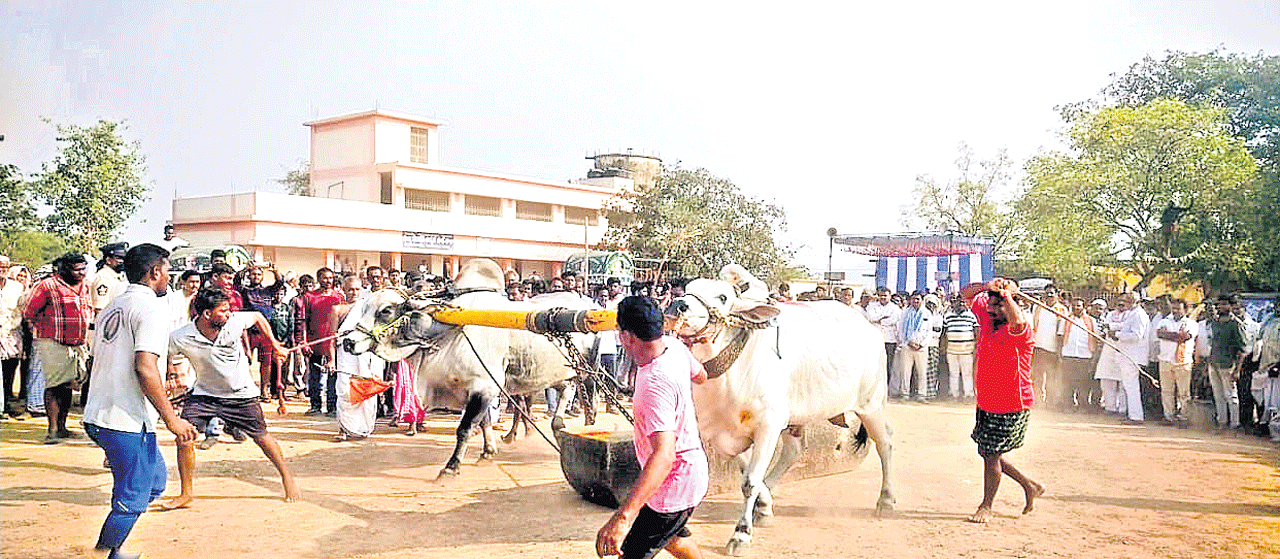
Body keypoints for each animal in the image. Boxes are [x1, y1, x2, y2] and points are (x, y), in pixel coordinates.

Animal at [343, 259, 596, 475]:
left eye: (385, 310)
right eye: (364, 308)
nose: (348, 342)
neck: (448, 329)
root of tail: (585, 304)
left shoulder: (485, 387)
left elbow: (465, 428)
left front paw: (451, 467)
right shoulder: (473, 390)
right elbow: (483, 422)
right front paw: (487, 452)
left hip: (587, 370)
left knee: (588, 398)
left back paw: (587, 424)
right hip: (551, 374)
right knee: (564, 390)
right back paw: (553, 425)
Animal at [665, 273, 896, 552]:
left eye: (722, 297)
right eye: (687, 289)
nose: (679, 305)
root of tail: (869, 327)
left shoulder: (768, 425)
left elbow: (750, 482)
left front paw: (741, 534)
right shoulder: (719, 432)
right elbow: (750, 474)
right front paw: (764, 507)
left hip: (872, 404)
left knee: (885, 443)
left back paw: (886, 501)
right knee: (793, 451)